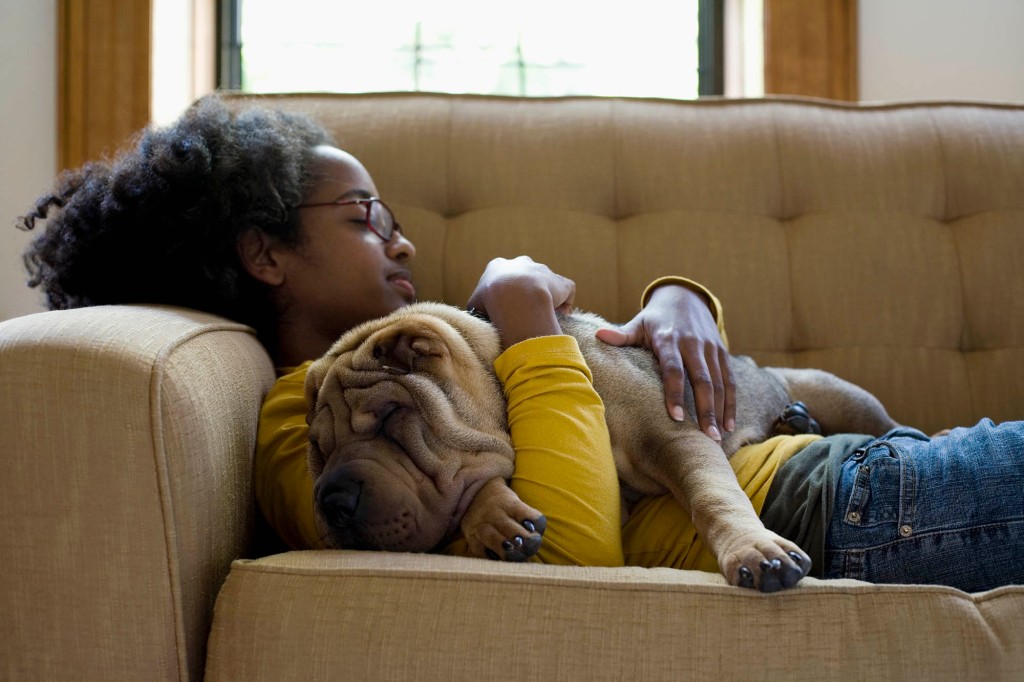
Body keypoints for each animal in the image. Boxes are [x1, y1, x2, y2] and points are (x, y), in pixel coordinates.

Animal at [303, 301, 897, 585]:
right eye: (318, 452)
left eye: (390, 417)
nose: (332, 502)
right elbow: (477, 483)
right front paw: (494, 516)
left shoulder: (678, 436)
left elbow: (713, 497)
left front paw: (755, 548)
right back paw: (792, 424)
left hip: (838, 390)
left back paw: (800, 420)